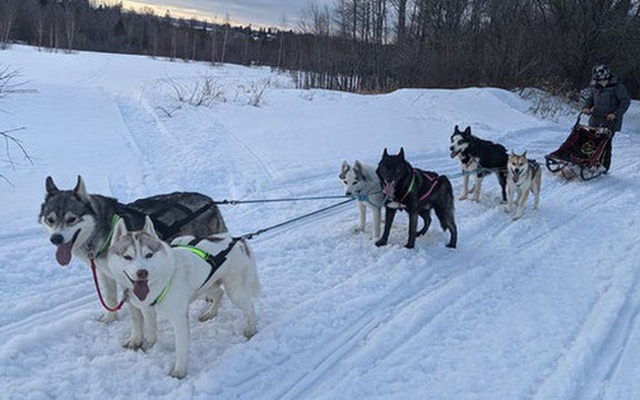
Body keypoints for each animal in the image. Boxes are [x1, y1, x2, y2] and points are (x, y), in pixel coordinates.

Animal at [38, 177, 228, 324]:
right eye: (50, 220)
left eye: (71, 219)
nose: (56, 238)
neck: (103, 227)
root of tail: (210, 201)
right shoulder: (106, 273)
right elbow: (110, 298)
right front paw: (110, 319)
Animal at [109, 217, 262, 380]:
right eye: (127, 257)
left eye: (149, 255)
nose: (142, 272)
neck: (163, 279)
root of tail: (239, 241)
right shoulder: (147, 309)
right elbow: (151, 328)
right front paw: (149, 342)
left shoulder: (178, 318)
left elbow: (181, 347)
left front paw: (179, 371)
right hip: (206, 286)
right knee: (219, 293)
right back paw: (210, 313)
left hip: (235, 292)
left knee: (249, 308)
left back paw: (251, 329)